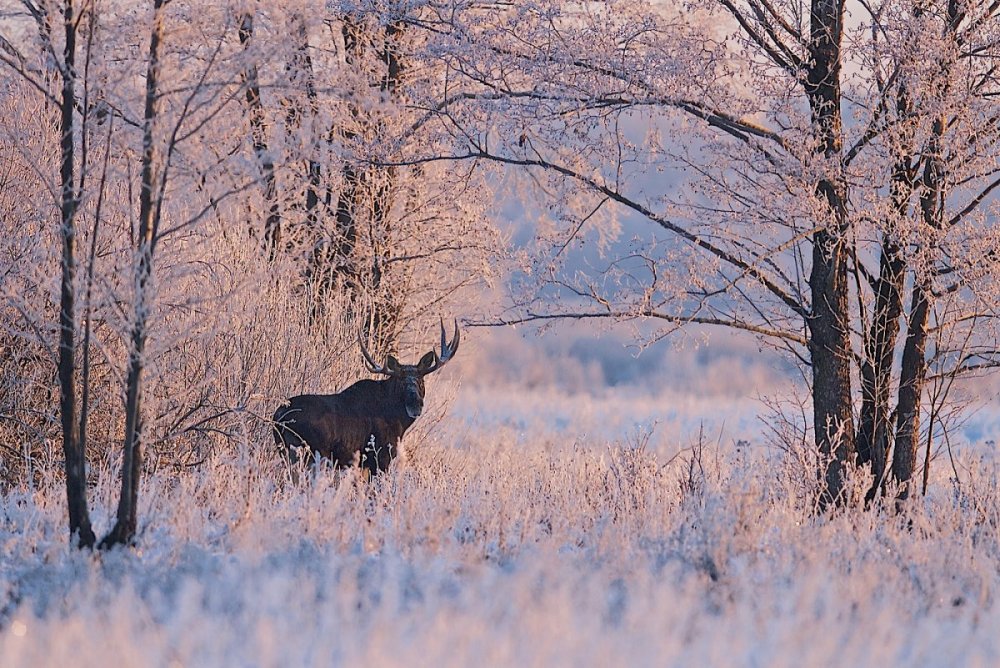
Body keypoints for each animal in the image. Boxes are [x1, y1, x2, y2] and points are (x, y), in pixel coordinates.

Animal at [274, 318, 460, 474]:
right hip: (310, 452)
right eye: (401, 382)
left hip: (287, 451)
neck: (398, 421)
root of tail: (279, 418)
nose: (415, 404)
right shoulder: (380, 455)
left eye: (421, 380)